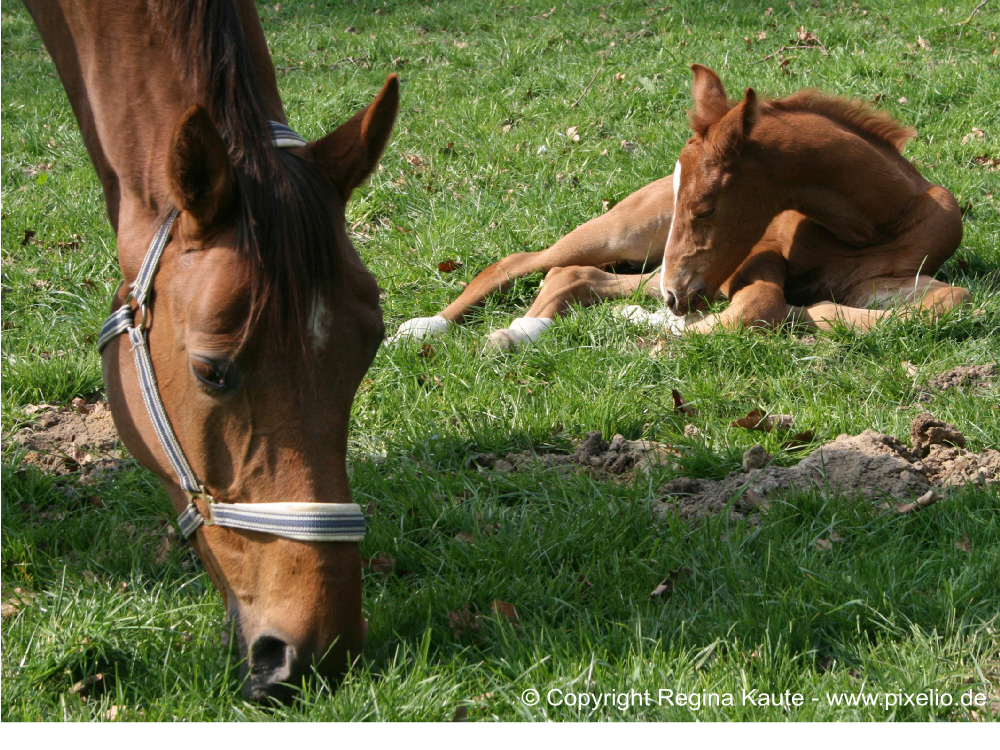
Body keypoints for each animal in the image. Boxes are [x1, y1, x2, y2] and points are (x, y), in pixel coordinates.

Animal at [392, 64, 968, 350]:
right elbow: (759, 306)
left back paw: (522, 330)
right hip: (630, 235)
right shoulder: (750, 260)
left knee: (573, 275)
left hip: (658, 262)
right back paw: (428, 327)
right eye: (687, 199)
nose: (675, 298)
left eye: (707, 207)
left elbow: (953, 300)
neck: (869, 228)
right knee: (521, 263)